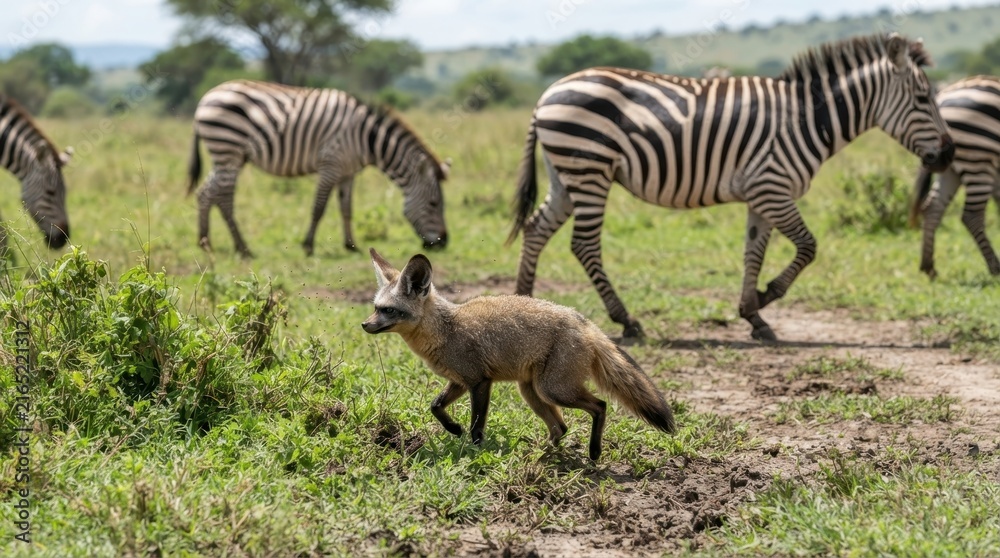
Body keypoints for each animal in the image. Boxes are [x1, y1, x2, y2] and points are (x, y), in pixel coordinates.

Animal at [188, 80, 450, 258]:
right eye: (433, 204)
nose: (444, 243)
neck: (365, 139)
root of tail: (206, 97)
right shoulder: (330, 166)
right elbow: (319, 208)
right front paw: (308, 246)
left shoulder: (348, 172)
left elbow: (346, 208)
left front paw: (351, 245)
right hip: (227, 151)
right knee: (224, 198)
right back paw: (242, 249)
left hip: (229, 156)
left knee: (206, 193)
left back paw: (204, 242)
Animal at [360, 248, 677, 460]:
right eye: (375, 308)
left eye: (389, 310)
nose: (364, 325)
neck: (446, 329)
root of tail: (584, 322)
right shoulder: (461, 381)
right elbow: (435, 406)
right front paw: (453, 429)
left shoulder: (479, 382)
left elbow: (477, 426)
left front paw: (474, 450)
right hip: (532, 392)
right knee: (561, 427)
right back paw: (542, 455)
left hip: (553, 390)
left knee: (599, 406)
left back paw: (593, 452)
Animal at [507, 34, 955, 342]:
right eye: (922, 98)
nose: (949, 154)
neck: (808, 120)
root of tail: (546, 95)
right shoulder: (773, 187)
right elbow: (809, 247)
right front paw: (766, 296)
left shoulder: (761, 195)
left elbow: (753, 253)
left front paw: (753, 315)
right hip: (589, 167)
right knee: (584, 245)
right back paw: (627, 320)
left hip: (566, 176)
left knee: (536, 229)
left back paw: (523, 306)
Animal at [909, 75, 1000, 278]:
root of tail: (941, 97)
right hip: (978, 160)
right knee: (971, 216)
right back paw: (995, 268)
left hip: (950, 167)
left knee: (932, 207)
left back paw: (928, 266)